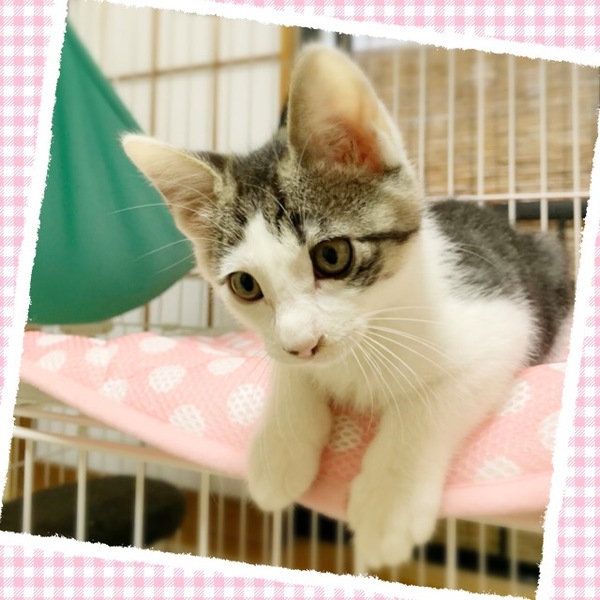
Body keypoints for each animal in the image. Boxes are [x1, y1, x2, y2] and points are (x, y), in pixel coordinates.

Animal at [122, 45, 573, 569]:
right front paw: (279, 450)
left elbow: (429, 405)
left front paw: (388, 502)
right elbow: (291, 373)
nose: (305, 344)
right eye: (245, 285)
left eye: (332, 256)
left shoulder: (503, 321)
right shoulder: (284, 346)